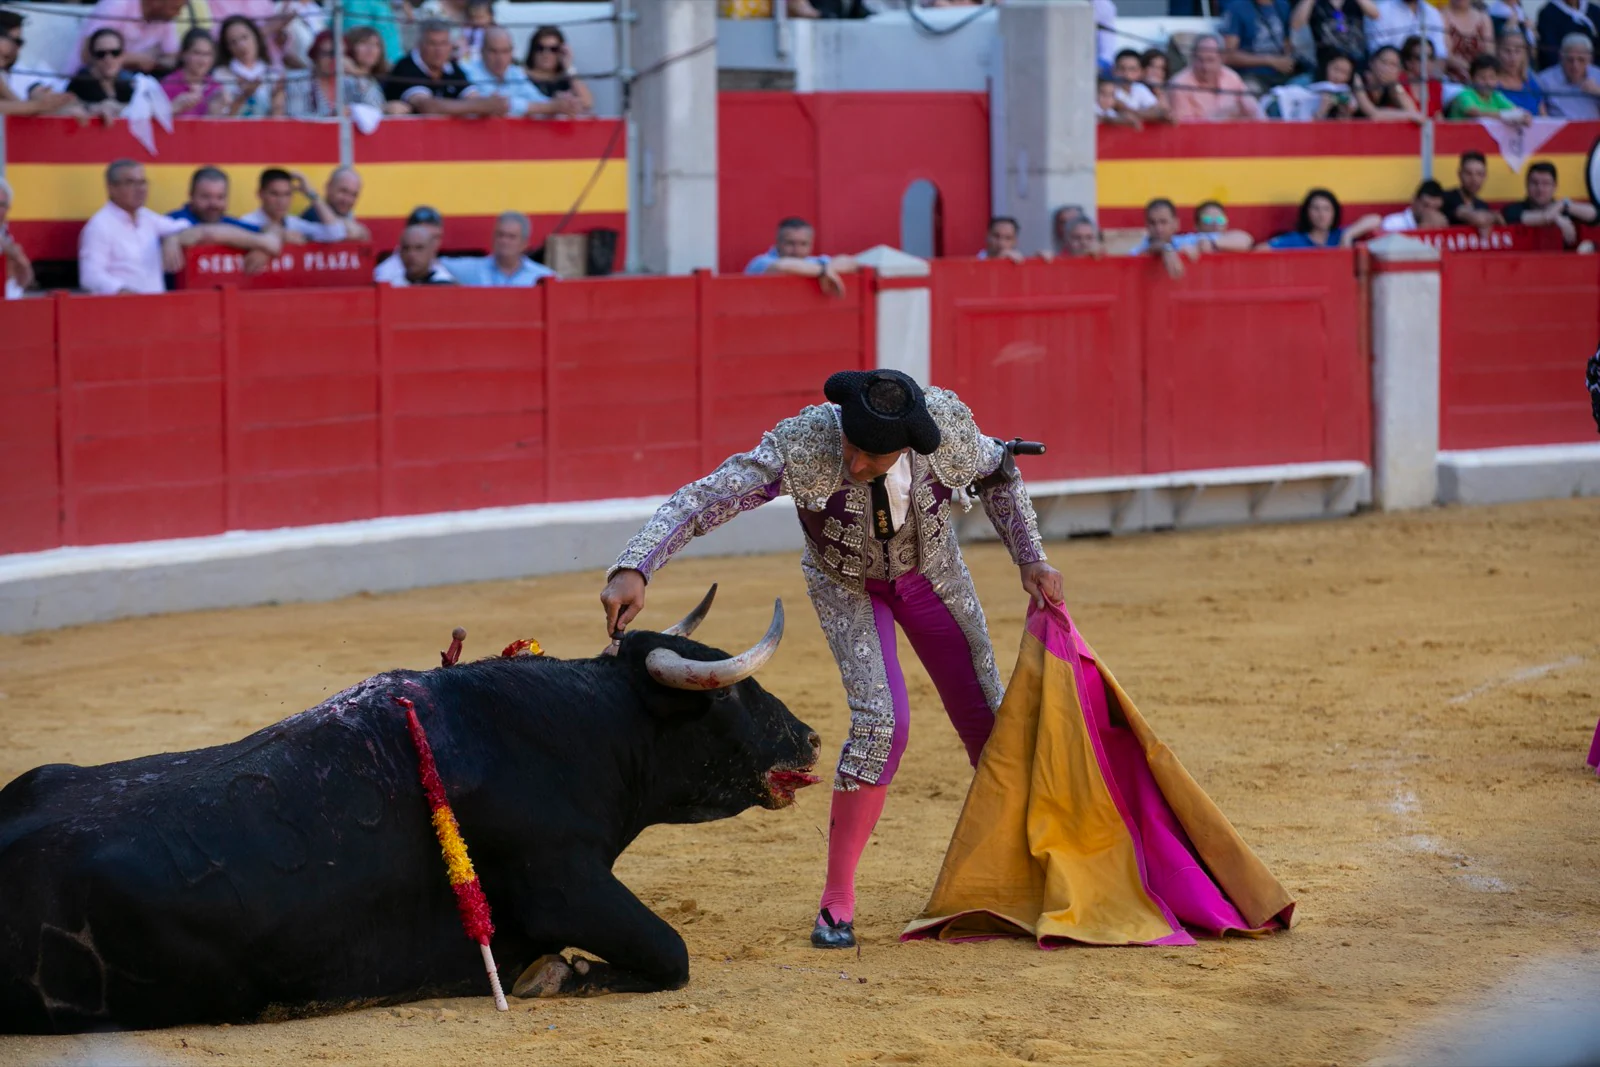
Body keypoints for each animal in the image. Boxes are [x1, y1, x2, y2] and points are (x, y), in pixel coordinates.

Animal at [0, 591, 819, 1036]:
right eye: (729, 692)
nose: (811, 736)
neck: (575, 730)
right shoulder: (562, 882)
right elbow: (670, 953)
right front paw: (552, 975)